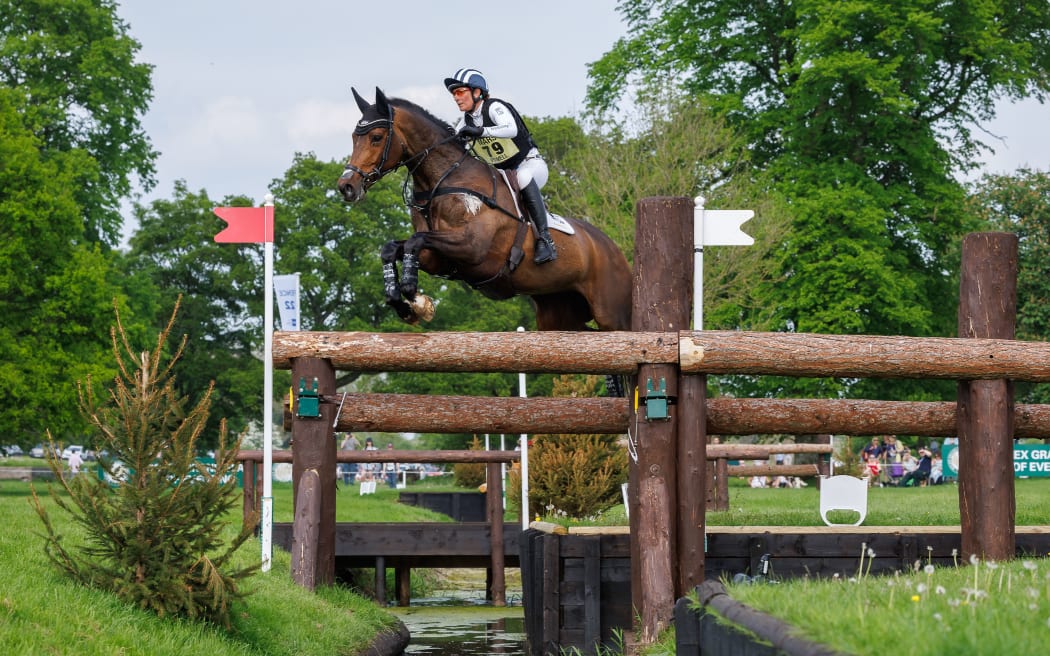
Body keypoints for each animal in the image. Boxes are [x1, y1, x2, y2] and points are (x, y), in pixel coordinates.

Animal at [338, 87, 630, 331]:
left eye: (376, 137)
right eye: (353, 137)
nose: (346, 186)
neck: (442, 182)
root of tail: (613, 248)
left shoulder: (471, 247)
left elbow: (414, 241)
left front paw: (416, 298)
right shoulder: (438, 257)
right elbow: (392, 248)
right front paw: (403, 303)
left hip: (613, 315)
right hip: (557, 313)